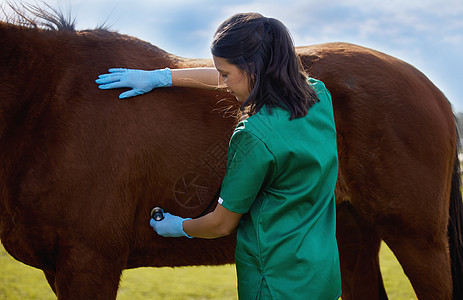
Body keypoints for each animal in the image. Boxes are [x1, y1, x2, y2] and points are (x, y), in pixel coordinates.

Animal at [0, 8, 462, 298]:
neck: (48, 100)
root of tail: (433, 91)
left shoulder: (89, 263)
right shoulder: (59, 269)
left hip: (418, 239)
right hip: (351, 234)